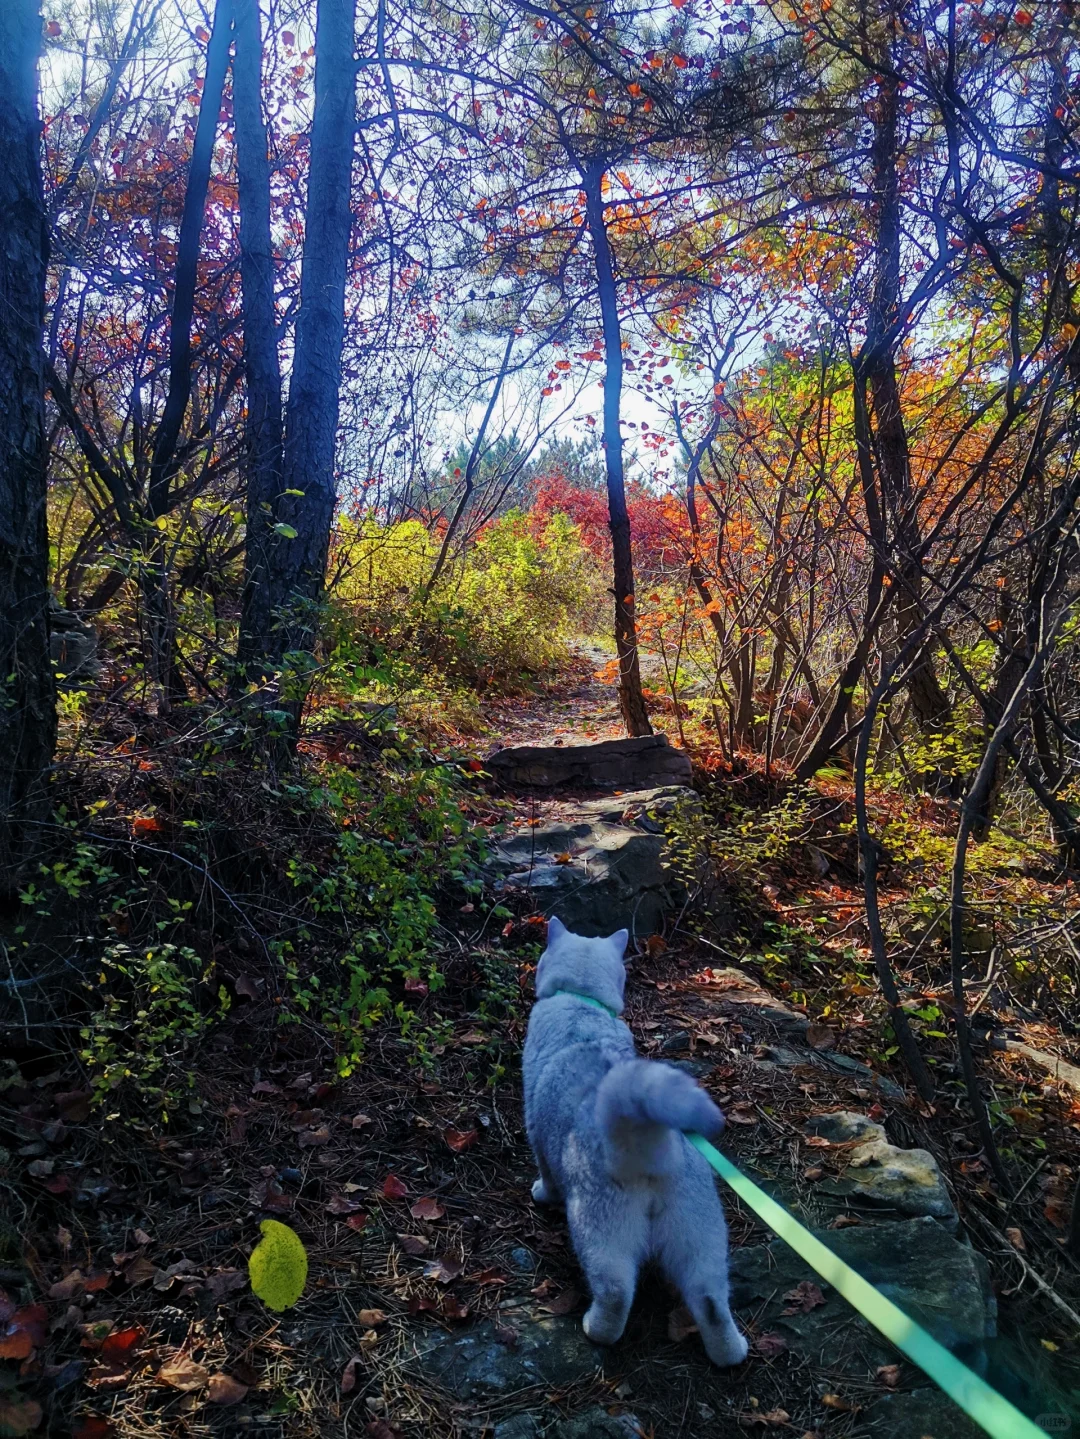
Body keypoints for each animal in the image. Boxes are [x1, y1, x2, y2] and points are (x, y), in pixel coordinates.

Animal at [526, 915, 753, 1364]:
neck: (582, 1001)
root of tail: (651, 1147)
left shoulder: (535, 1131)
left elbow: (545, 1174)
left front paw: (540, 1193)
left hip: (599, 1230)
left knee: (616, 1293)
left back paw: (596, 1330)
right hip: (701, 1235)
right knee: (712, 1303)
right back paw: (731, 1352)